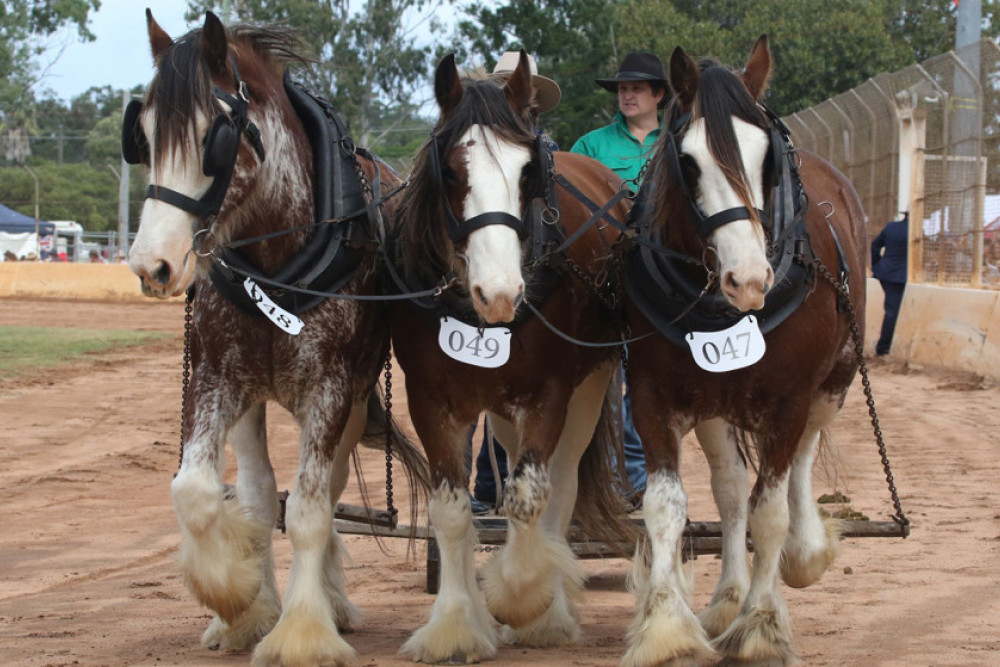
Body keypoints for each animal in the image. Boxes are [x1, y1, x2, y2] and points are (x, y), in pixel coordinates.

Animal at [125, 10, 426, 667]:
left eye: (213, 137)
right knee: (261, 494)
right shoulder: (220, 379)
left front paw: (305, 629)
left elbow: (312, 509)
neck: (274, 264)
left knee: (328, 490)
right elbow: (199, 491)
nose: (151, 264)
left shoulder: (332, 390)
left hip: (352, 399)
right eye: (144, 135)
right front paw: (237, 599)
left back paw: (331, 601)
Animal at [620, 37, 864, 667]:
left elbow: (770, 512)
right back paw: (728, 597)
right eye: (687, 162)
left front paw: (761, 624)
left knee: (800, 463)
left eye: (767, 158)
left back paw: (801, 555)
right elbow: (668, 506)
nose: (749, 279)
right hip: (713, 403)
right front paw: (667, 628)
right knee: (730, 494)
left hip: (832, 384)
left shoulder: (789, 400)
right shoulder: (654, 396)